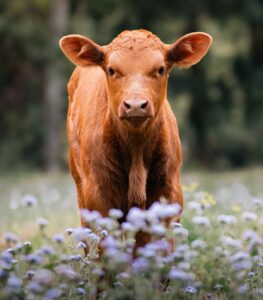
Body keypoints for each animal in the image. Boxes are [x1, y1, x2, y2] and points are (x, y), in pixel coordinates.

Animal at [59, 28, 212, 232]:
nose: (135, 105)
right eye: (112, 70)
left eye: (160, 69)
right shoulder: (98, 199)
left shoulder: (168, 197)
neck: (136, 150)